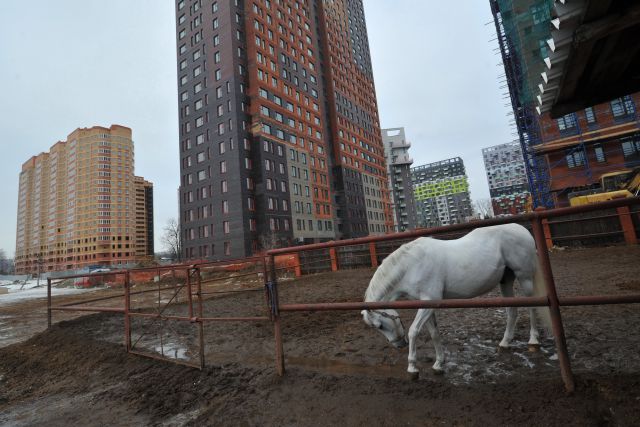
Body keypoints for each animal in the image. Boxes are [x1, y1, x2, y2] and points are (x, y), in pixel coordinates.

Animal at [360, 224, 552, 378]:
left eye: (380, 326)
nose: (399, 344)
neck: (411, 264)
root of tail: (521, 229)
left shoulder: (430, 301)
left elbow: (414, 331)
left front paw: (412, 367)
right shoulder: (425, 305)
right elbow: (434, 333)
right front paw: (439, 364)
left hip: (525, 278)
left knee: (532, 307)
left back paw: (533, 341)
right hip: (505, 282)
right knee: (512, 312)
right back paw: (505, 343)